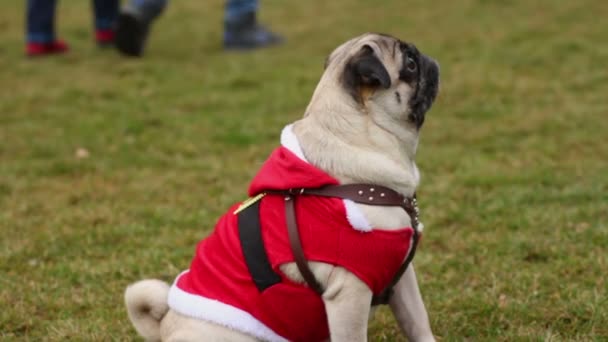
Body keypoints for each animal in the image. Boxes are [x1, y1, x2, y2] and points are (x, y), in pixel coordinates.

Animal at [124, 32, 436, 342]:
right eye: (410, 64)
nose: (427, 58)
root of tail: (163, 326)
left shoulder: (403, 277)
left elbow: (417, 322)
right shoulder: (349, 292)